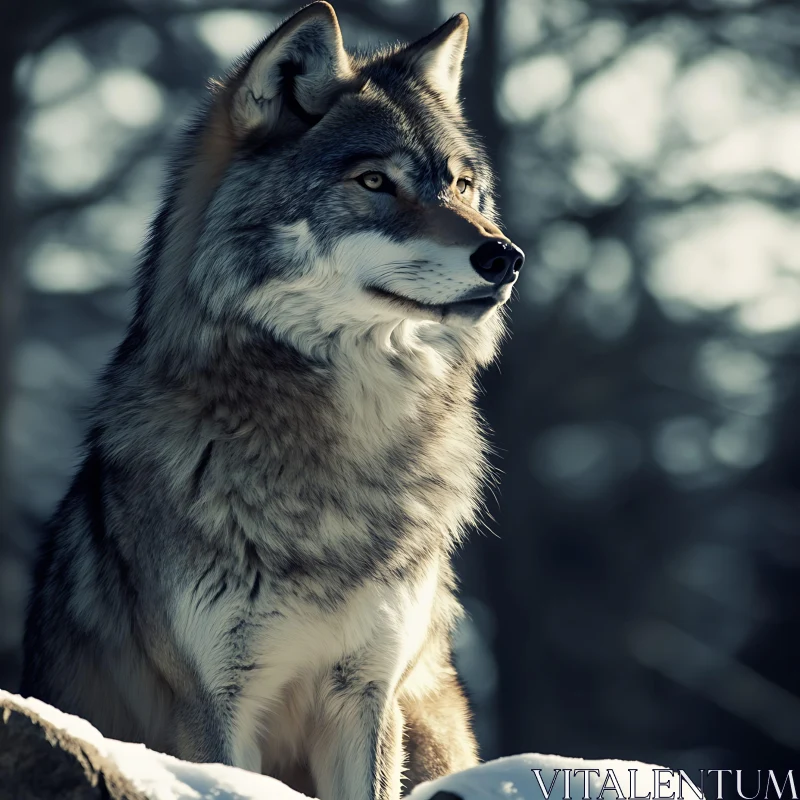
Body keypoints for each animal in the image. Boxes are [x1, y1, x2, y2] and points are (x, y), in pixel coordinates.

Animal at [18, 3, 524, 796]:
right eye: (375, 181)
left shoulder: (365, 696)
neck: (344, 458)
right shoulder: (214, 701)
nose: (505, 256)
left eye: (463, 185)